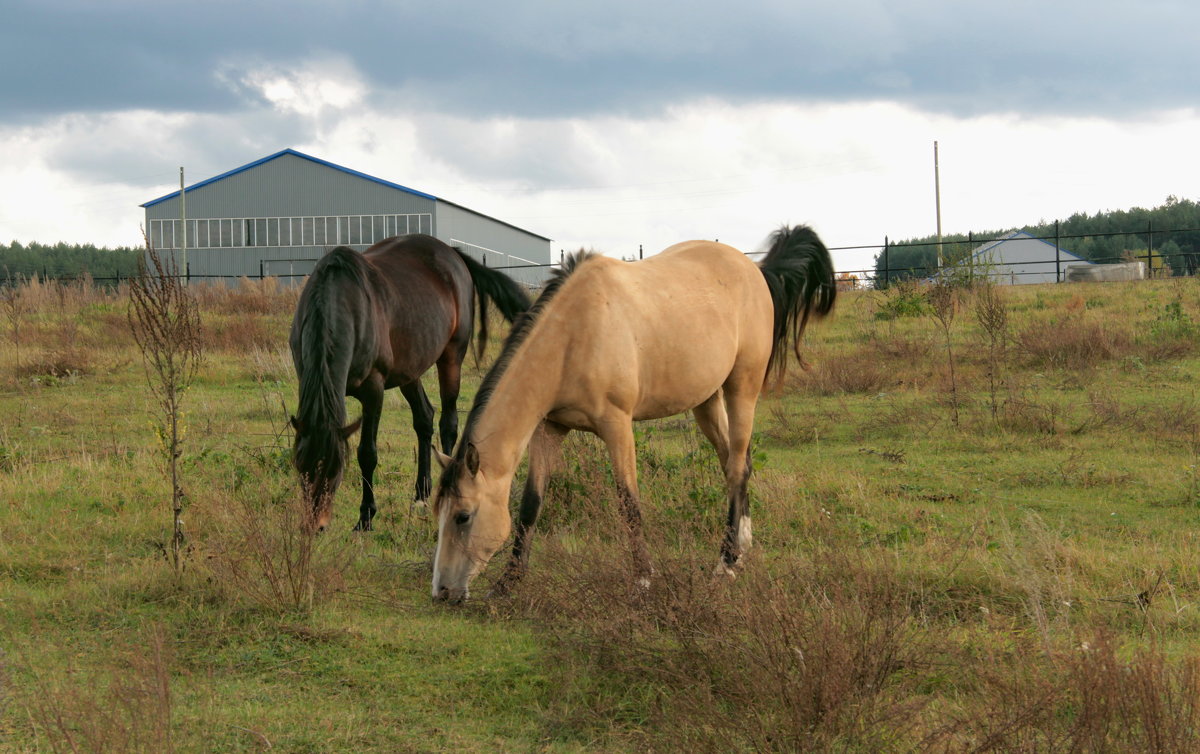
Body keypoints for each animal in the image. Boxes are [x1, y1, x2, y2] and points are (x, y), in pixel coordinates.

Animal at [285, 232, 530, 533]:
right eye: (300, 466)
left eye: (335, 470)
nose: (314, 526)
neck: (341, 302)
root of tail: (453, 254)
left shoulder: (373, 390)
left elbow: (367, 453)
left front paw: (366, 517)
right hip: (409, 371)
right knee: (424, 418)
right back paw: (421, 495)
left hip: (451, 356)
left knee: (448, 423)